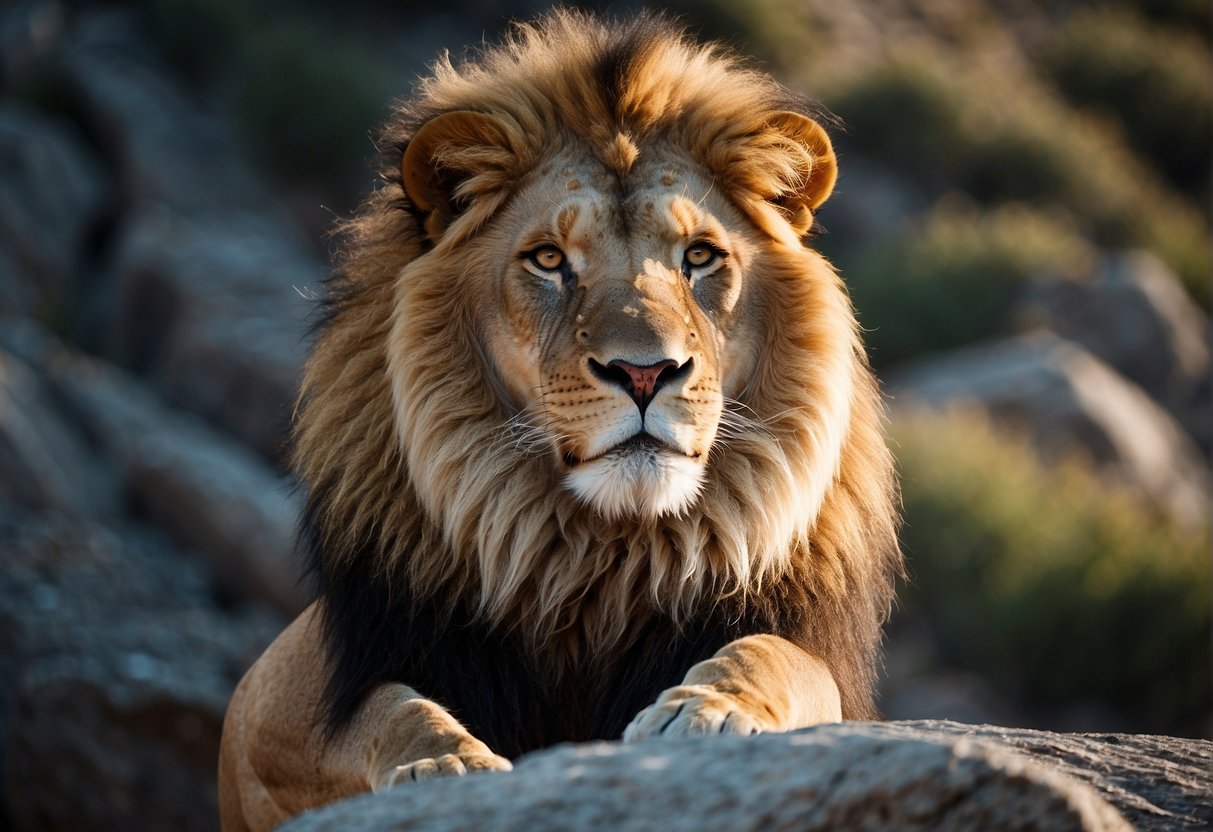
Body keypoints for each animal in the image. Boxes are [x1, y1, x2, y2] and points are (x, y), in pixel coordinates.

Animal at [218, 9, 902, 829]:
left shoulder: (814, 659)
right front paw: (446, 762)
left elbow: (777, 655)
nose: (644, 372)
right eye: (548, 260)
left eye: (700, 257)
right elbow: (388, 708)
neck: (597, 558)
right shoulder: (285, 689)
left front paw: (703, 708)